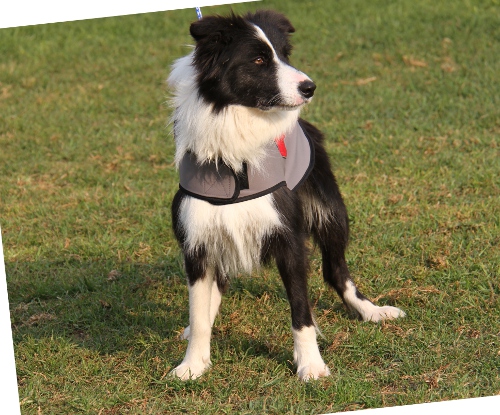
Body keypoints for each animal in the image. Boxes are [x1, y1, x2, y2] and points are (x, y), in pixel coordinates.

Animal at [168, 9, 406, 382]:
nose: (310, 87)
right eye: (259, 59)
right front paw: (193, 364)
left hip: (330, 209)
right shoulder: (196, 238)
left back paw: (372, 311)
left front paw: (311, 365)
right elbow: (199, 309)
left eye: (284, 54)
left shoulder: (288, 236)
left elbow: (301, 311)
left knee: (336, 270)